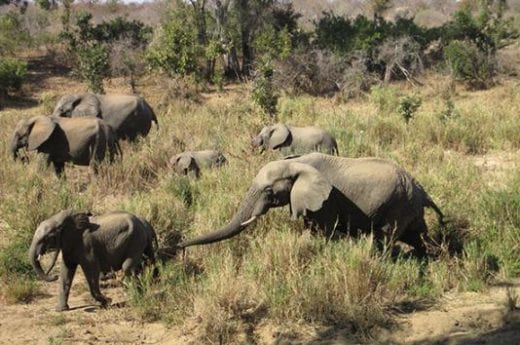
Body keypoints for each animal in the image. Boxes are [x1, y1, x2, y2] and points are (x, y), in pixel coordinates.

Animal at [28, 208, 157, 310]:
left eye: (47, 238)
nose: (53, 276)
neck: (61, 219)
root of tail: (143, 222)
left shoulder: (86, 245)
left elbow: (91, 269)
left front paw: (107, 301)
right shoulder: (70, 245)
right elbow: (66, 271)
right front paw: (61, 310)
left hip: (135, 239)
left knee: (128, 267)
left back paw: (138, 296)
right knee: (145, 261)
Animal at [178, 152, 442, 254]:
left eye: (268, 190)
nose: (179, 247)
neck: (295, 163)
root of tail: (420, 188)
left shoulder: (326, 201)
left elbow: (323, 232)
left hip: (397, 206)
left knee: (388, 236)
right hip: (407, 207)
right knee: (415, 236)